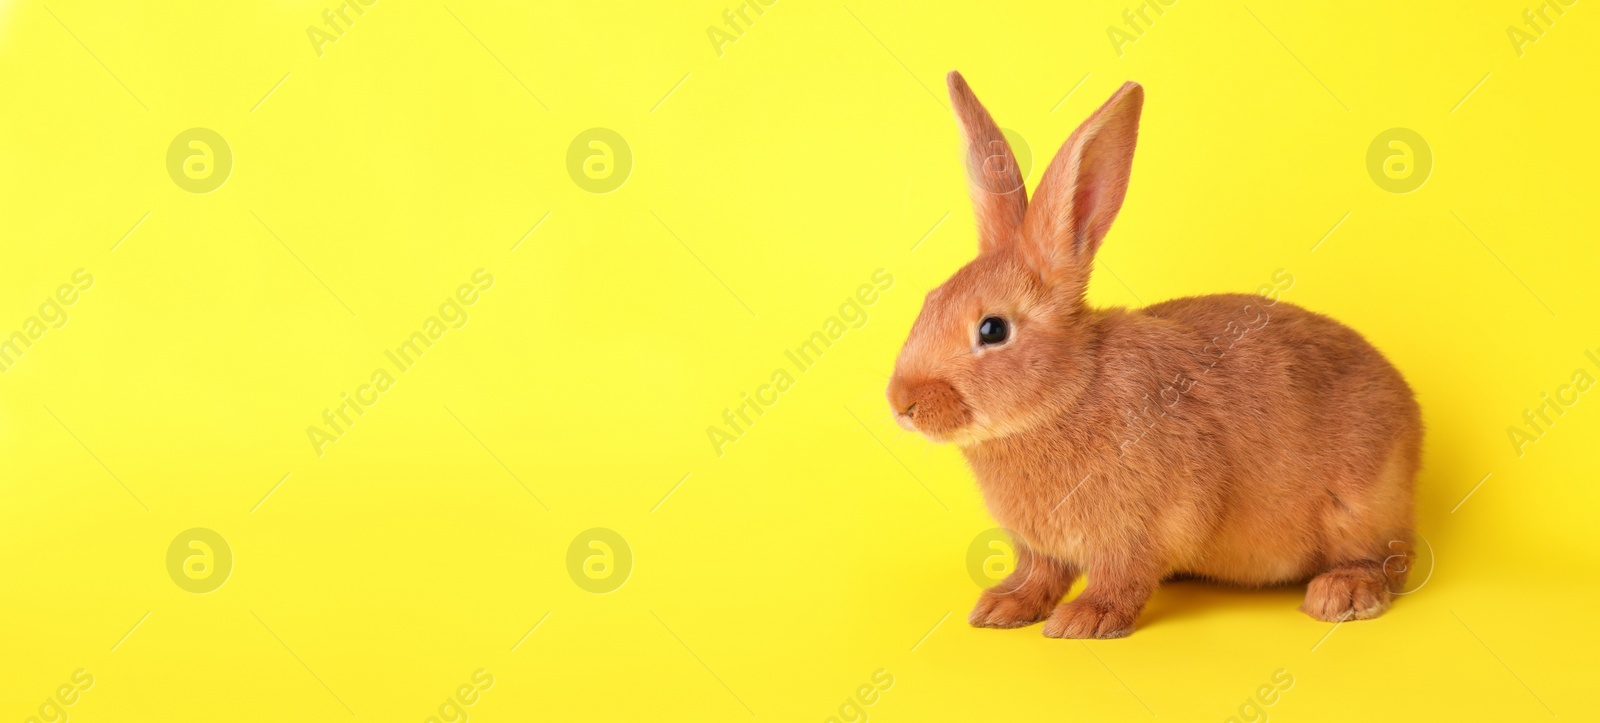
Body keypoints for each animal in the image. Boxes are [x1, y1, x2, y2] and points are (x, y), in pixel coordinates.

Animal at [889, 71, 1427, 639]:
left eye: (992, 329)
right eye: (930, 300)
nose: (901, 403)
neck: (1066, 394)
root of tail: (1411, 411)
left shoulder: (1144, 525)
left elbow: (1122, 576)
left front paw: (1084, 620)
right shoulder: (1040, 549)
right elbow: (1039, 574)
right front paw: (1002, 607)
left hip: (1360, 507)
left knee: (1390, 558)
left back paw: (1341, 594)